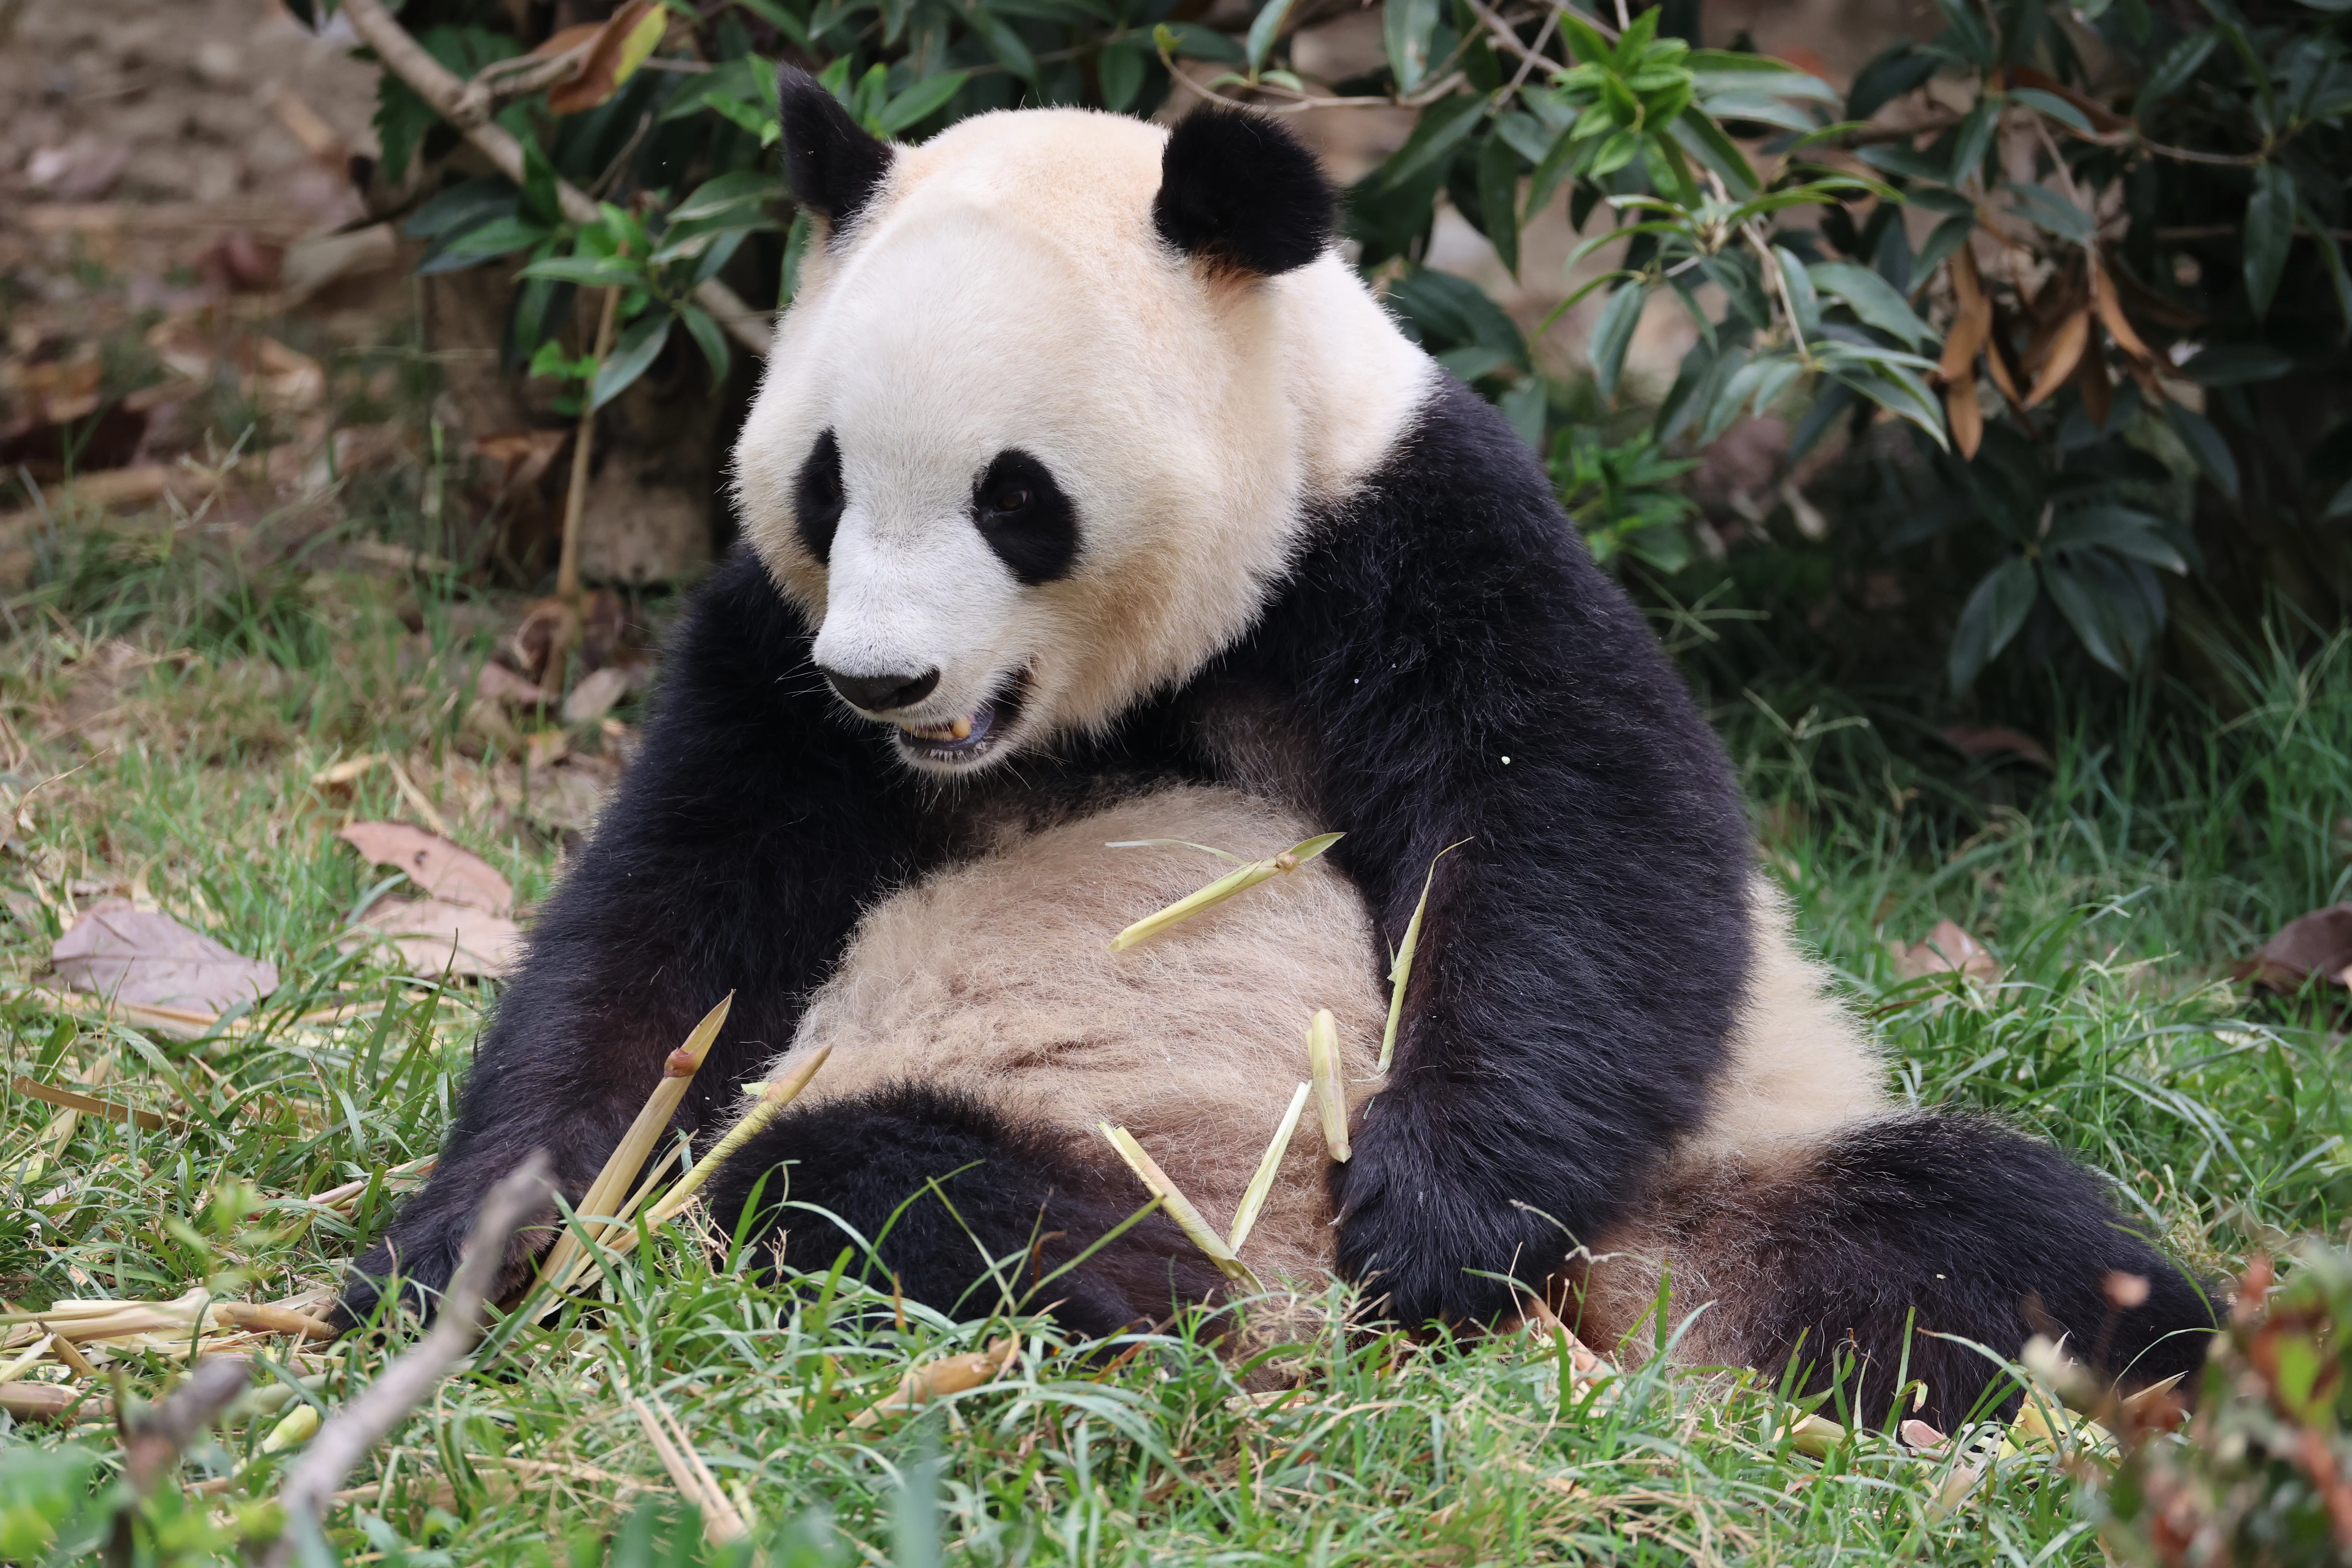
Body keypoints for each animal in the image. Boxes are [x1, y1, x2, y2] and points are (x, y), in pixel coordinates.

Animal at [341, 74, 2215, 1427]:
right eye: (824, 481)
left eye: (1014, 497)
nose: (882, 678)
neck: (1119, 691)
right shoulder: (767, 658)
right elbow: (669, 945)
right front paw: (457, 1254)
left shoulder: (1409, 533)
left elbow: (1575, 838)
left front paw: (1438, 1215)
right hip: (1052, 1119)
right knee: (869, 1177)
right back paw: (1125, 1315)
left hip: (1705, 1179)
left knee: (1980, 1231)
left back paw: (2149, 1369)